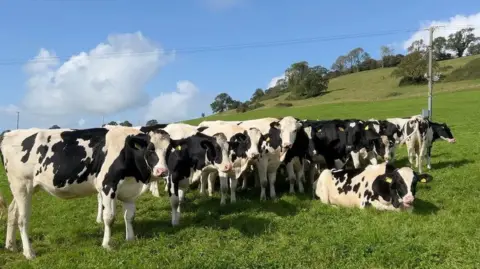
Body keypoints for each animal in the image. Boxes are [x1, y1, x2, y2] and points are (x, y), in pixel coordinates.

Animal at [0, 125, 172, 258]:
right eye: (150, 150)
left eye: (169, 150)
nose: (162, 171)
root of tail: (9, 134)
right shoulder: (107, 186)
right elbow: (109, 217)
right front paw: (107, 245)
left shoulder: (129, 191)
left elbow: (129, 217)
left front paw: (130, 239)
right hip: (21, 186)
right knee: (22, 219)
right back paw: (29, 253)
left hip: (26, 188)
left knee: (12, 211)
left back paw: (11, 245)